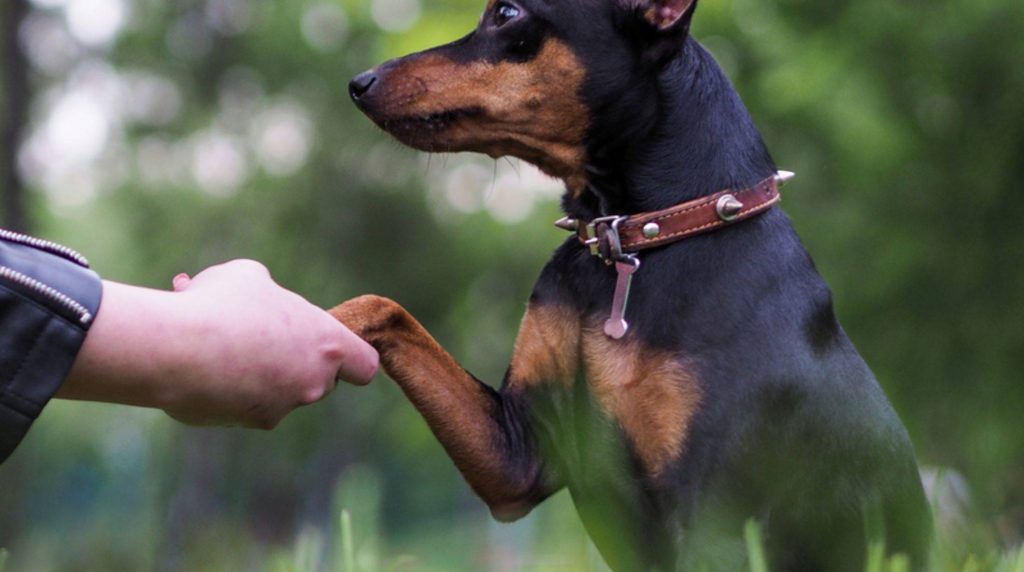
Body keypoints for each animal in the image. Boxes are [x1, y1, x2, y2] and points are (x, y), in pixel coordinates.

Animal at [329, 0, 937, 568]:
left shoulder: (717, 517)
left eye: (506, 12)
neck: (629, 243)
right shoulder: (517, 457)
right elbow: (381, 306)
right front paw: (315, 328)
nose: (360, 83)